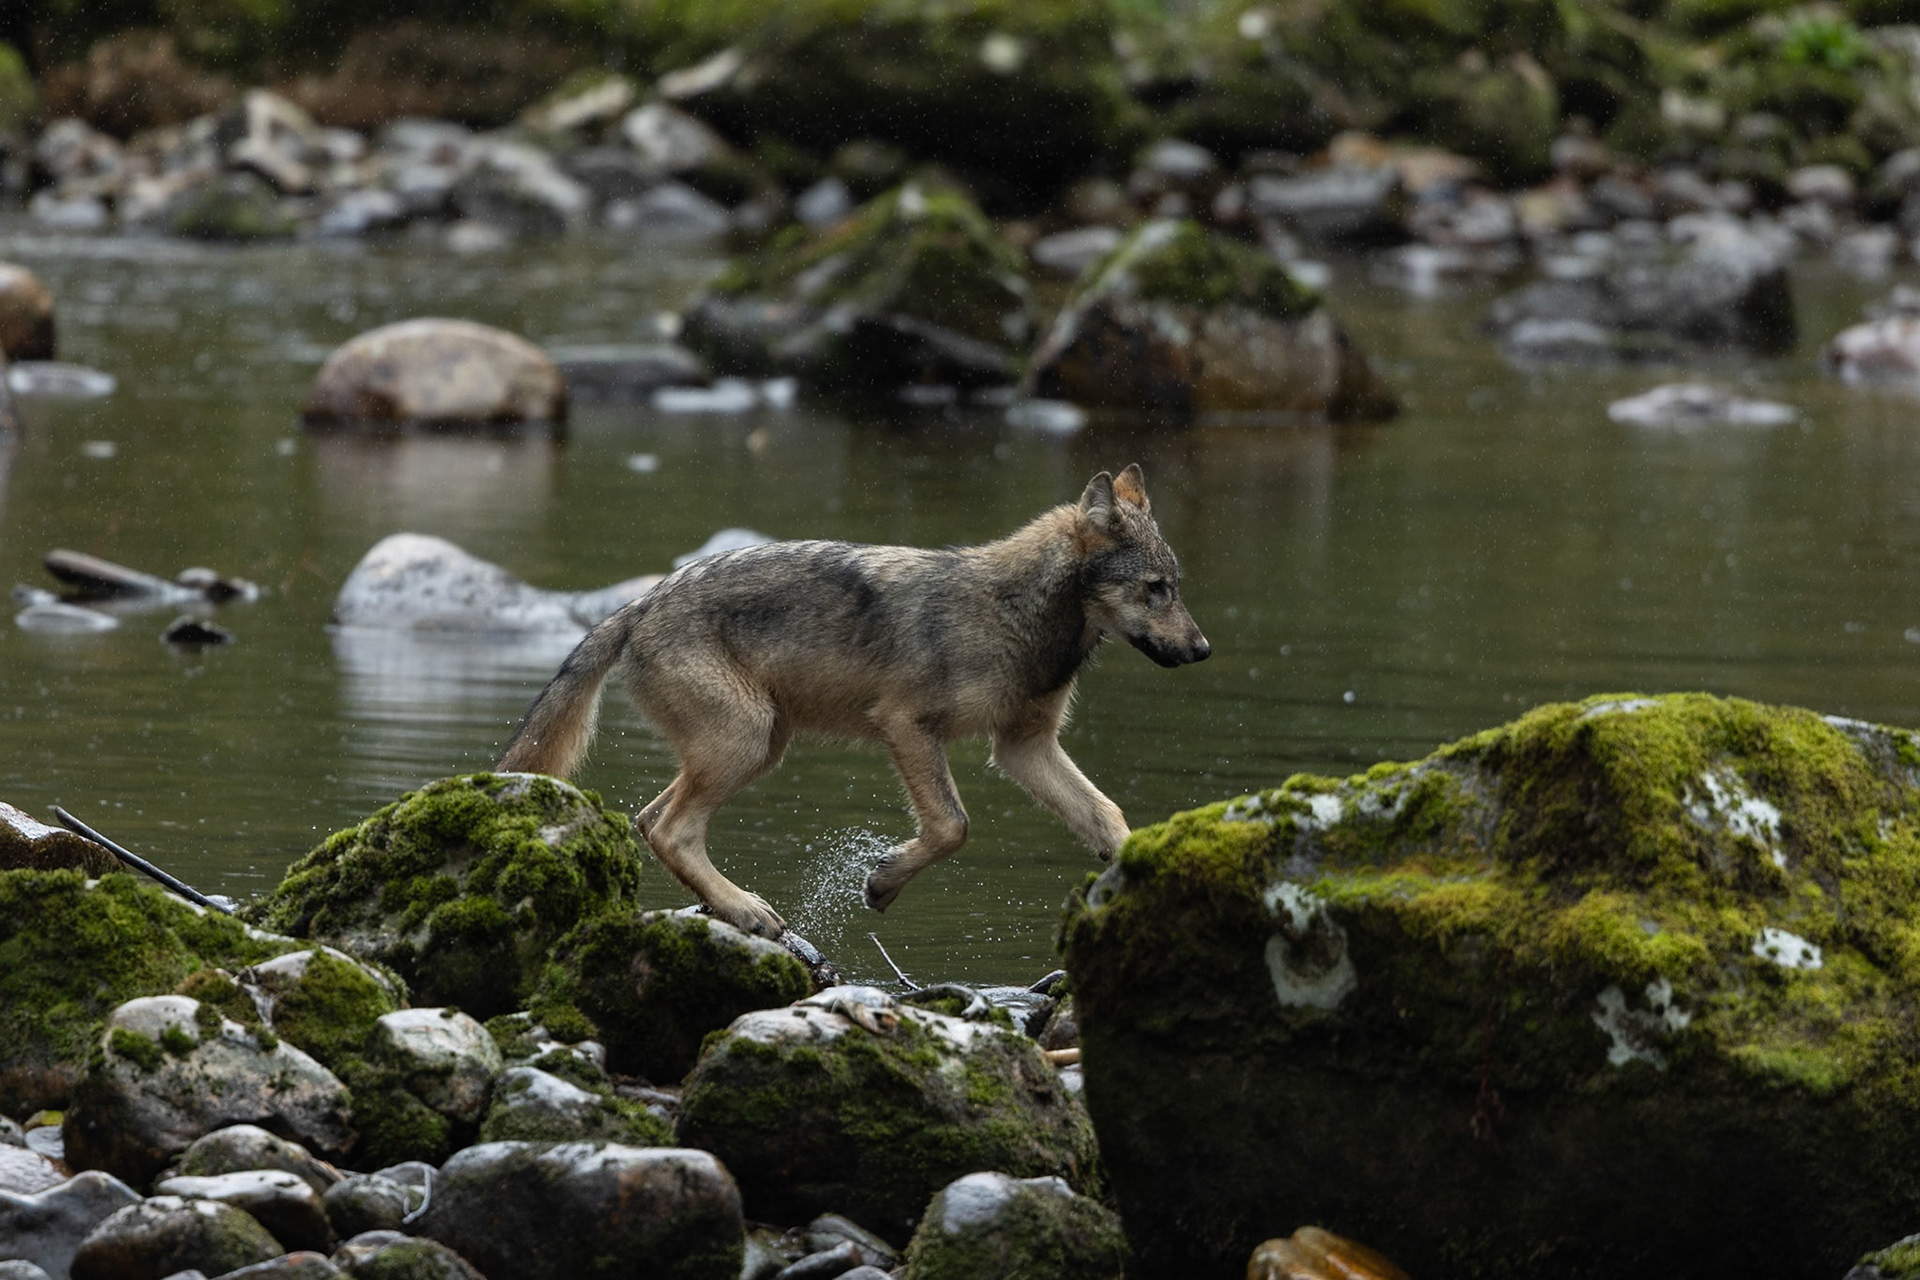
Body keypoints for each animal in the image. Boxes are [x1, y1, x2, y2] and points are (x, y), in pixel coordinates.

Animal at [496, 464, 1210, 937]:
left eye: (1174, 587)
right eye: (1155, 589)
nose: (1203, 650)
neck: (1018, 617)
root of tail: (642, 603)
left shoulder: (1024, 747)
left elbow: (1108, 816)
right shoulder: (907, 726)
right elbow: (952, 826)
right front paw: (883, 881)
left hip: (762, 744)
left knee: (650, 820)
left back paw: (732, 906)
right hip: (747, 741)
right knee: (669, 828)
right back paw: (747, 910)